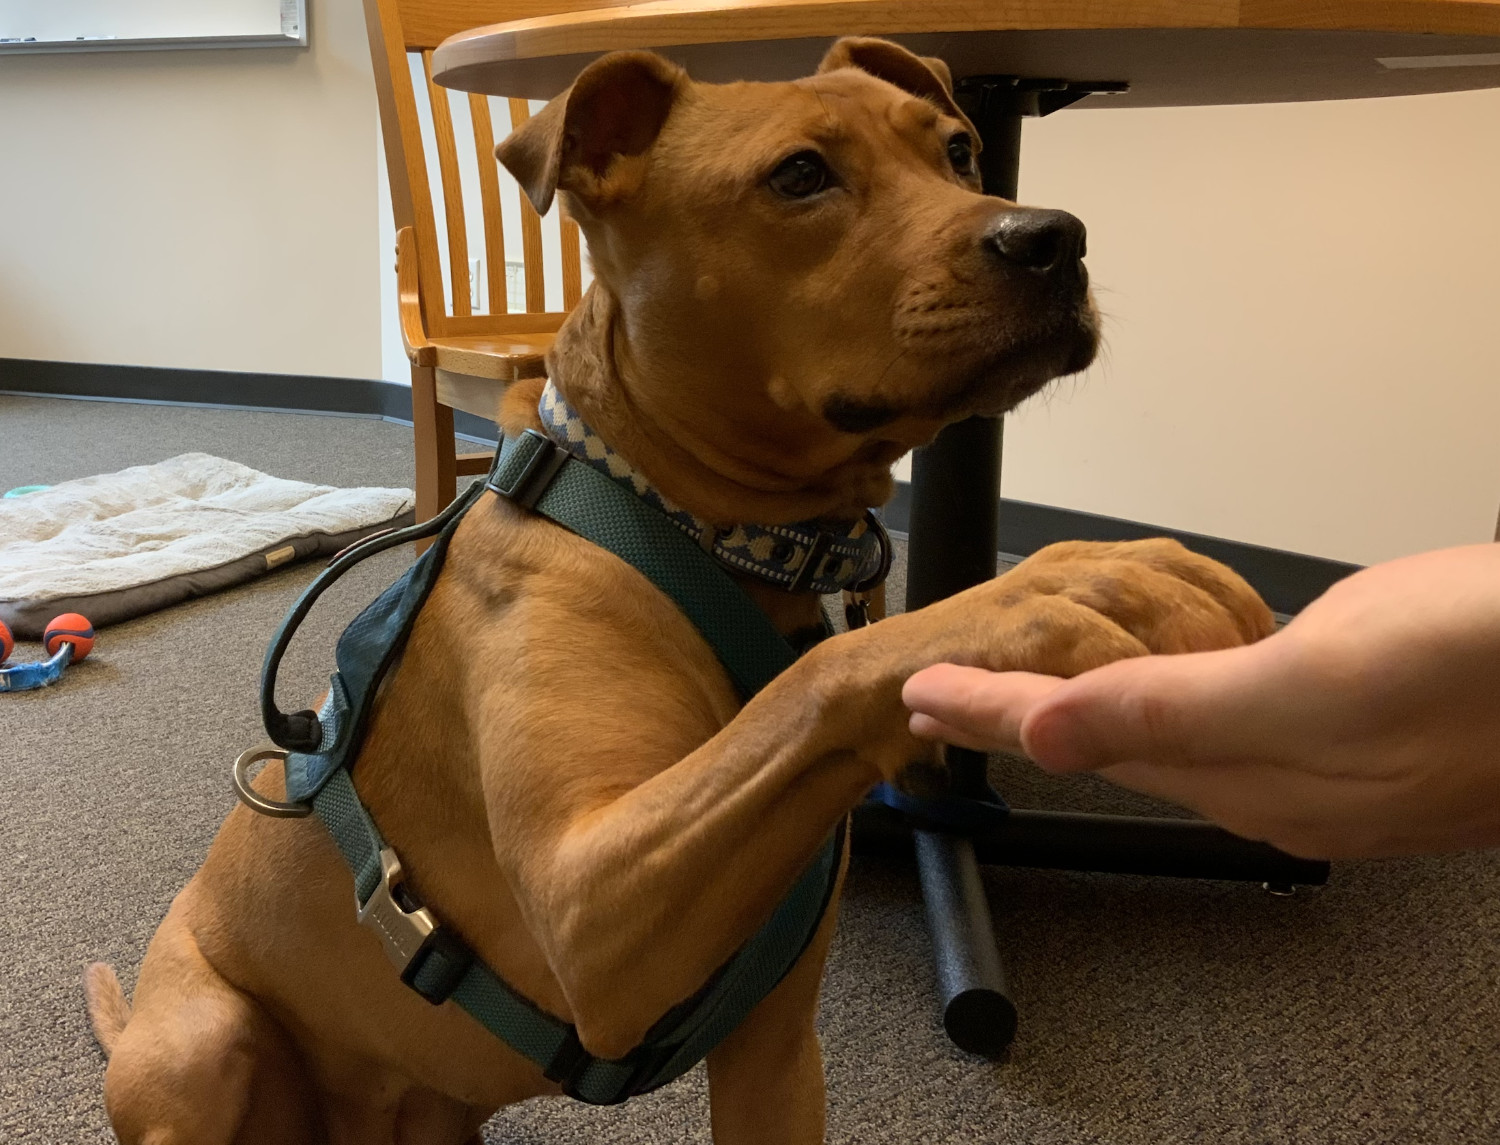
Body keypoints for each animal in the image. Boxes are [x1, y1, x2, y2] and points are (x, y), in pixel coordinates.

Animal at [87, 38, 1272, 1145]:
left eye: (960, 151)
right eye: (800, 175)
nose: (1054, 236)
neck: (696, 526)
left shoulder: (778, 1052)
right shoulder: (593, 907)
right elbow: (827, 674)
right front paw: (1053, 586)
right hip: (203, 1045)